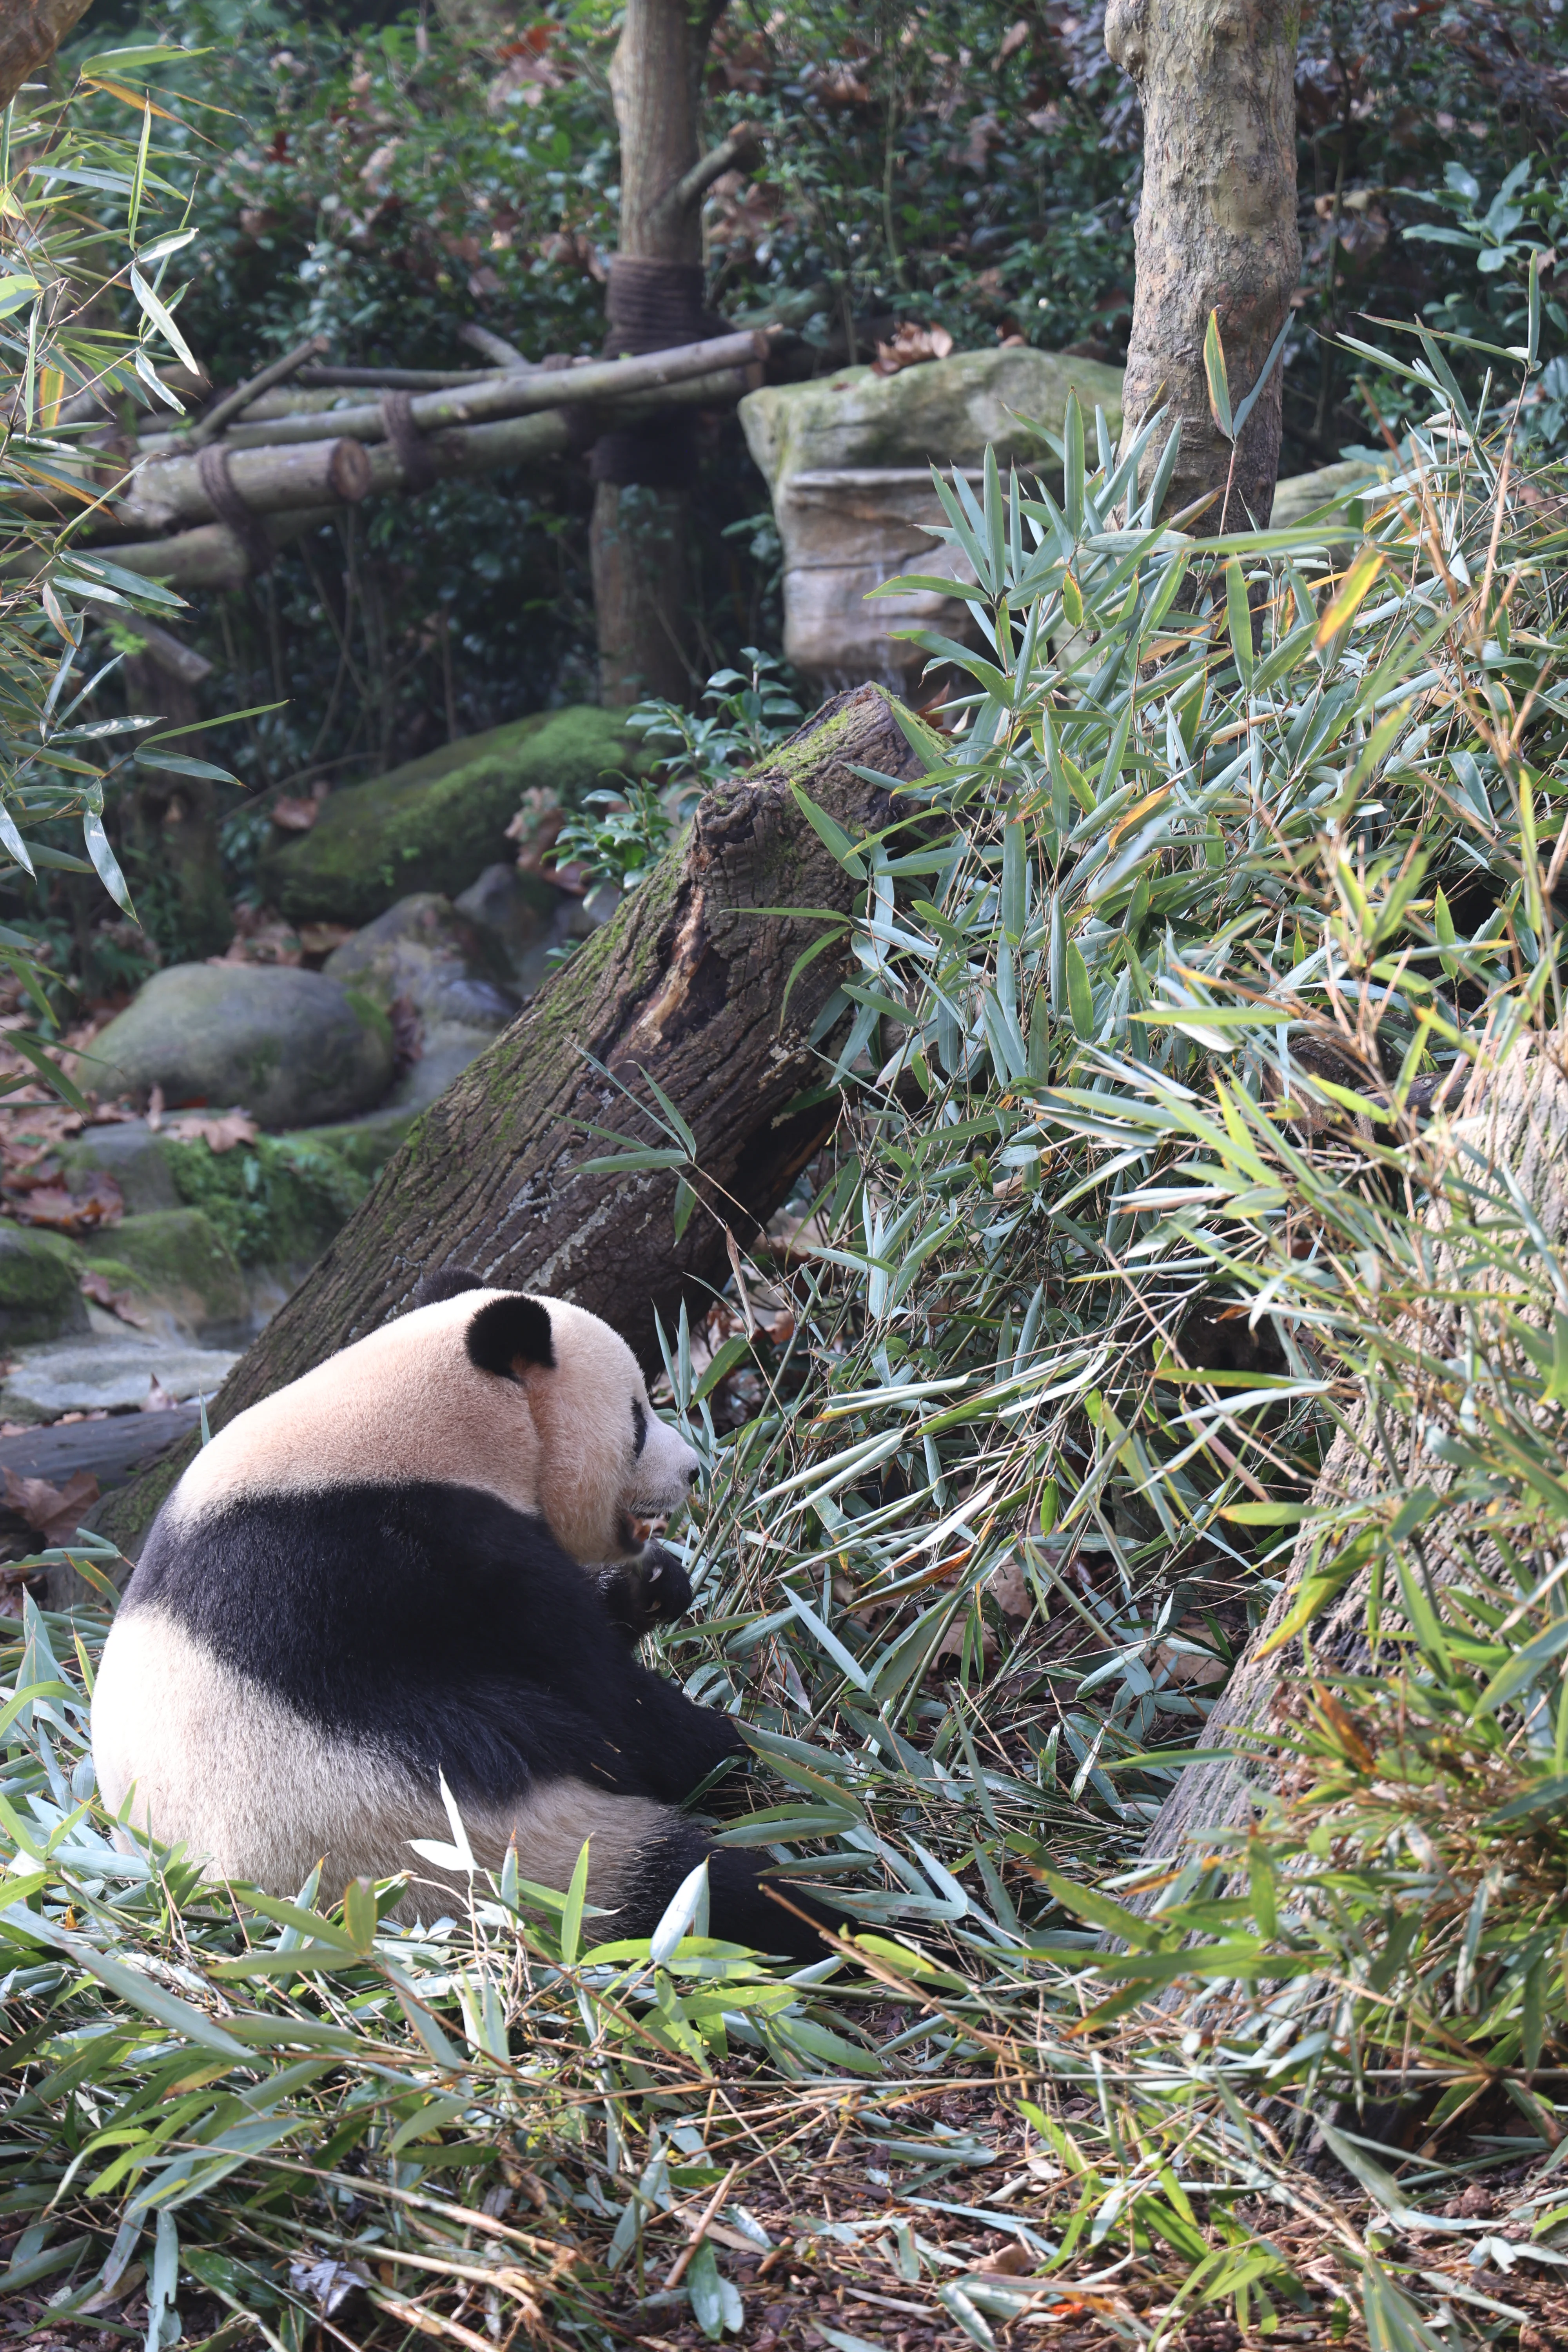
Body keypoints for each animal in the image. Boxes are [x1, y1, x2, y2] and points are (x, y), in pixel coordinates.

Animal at [91, 1272, 842, 1960]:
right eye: (637, 1420)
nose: (691, 1470)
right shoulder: (407, 1556)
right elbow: (594, 1692)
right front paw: (732, 1745)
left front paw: (657, 1584)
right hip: (485, 1846)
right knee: (697, 1888)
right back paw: (826, 1916)